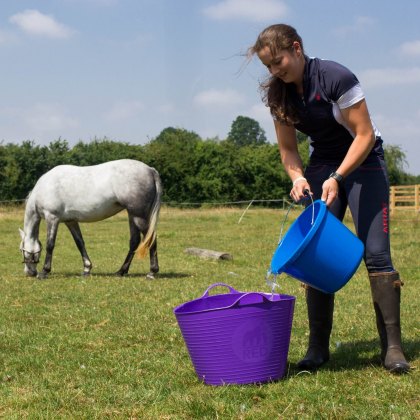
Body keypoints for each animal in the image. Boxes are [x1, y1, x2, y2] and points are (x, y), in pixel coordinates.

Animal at [18, 159, 162, 280]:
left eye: (21, 250)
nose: (29, 272)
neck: (44, 188)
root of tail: (150, 170)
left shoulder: (52, 218)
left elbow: (50, 245)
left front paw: (44, 272)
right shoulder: (71, 221)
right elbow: (80, 243)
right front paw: (87, 269)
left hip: (139, 216)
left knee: (150, 238)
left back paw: (151, 272)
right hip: (132, 215)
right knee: (134, 241)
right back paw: (121, 271)